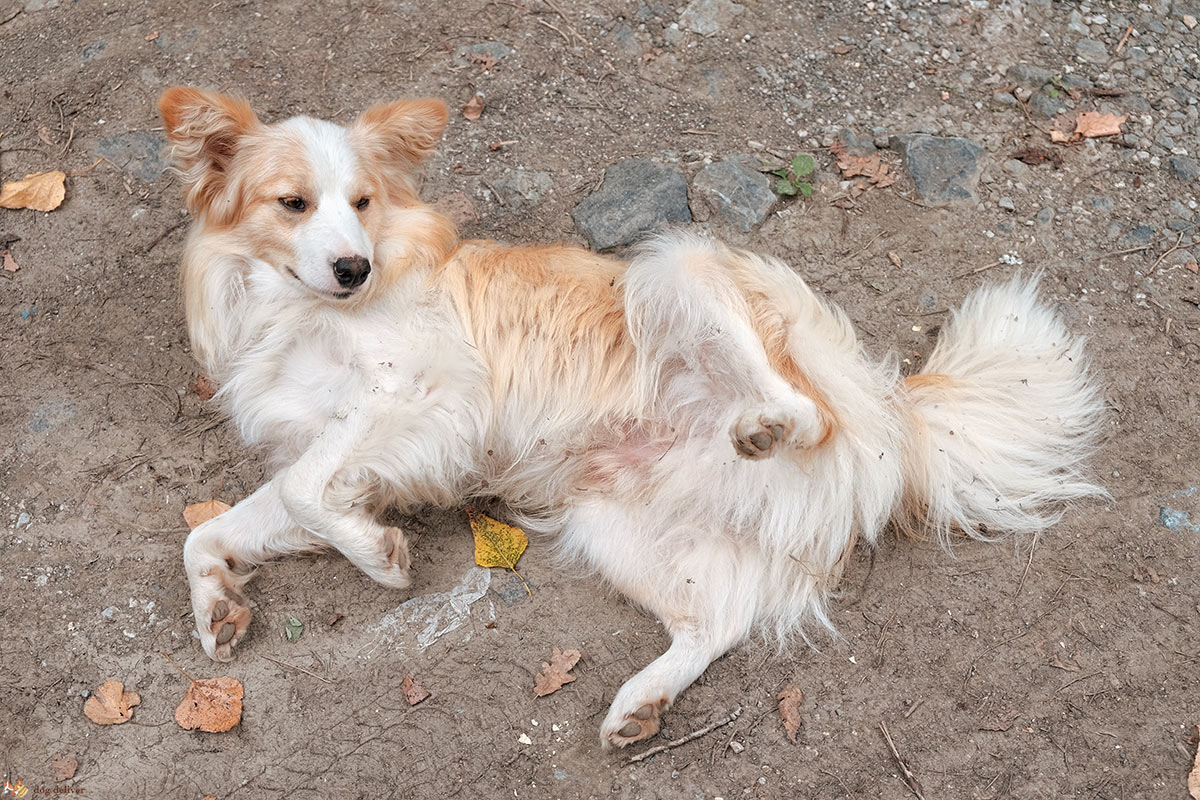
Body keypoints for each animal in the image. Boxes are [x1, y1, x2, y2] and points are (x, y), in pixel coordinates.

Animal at [159, 89, 1104, 753]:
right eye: (292, 203)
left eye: (360, 202)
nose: (353, 268)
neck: (292, 312)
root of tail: (890, 409)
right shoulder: (353, 452)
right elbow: (221, 527)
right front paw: (220, 609)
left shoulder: (431, 392)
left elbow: (310, 490)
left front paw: (382, 559)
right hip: (613, 527)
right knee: (714, 627)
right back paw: (641, 705)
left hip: (674, 264)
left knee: (808, 413)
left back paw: (770, 424)